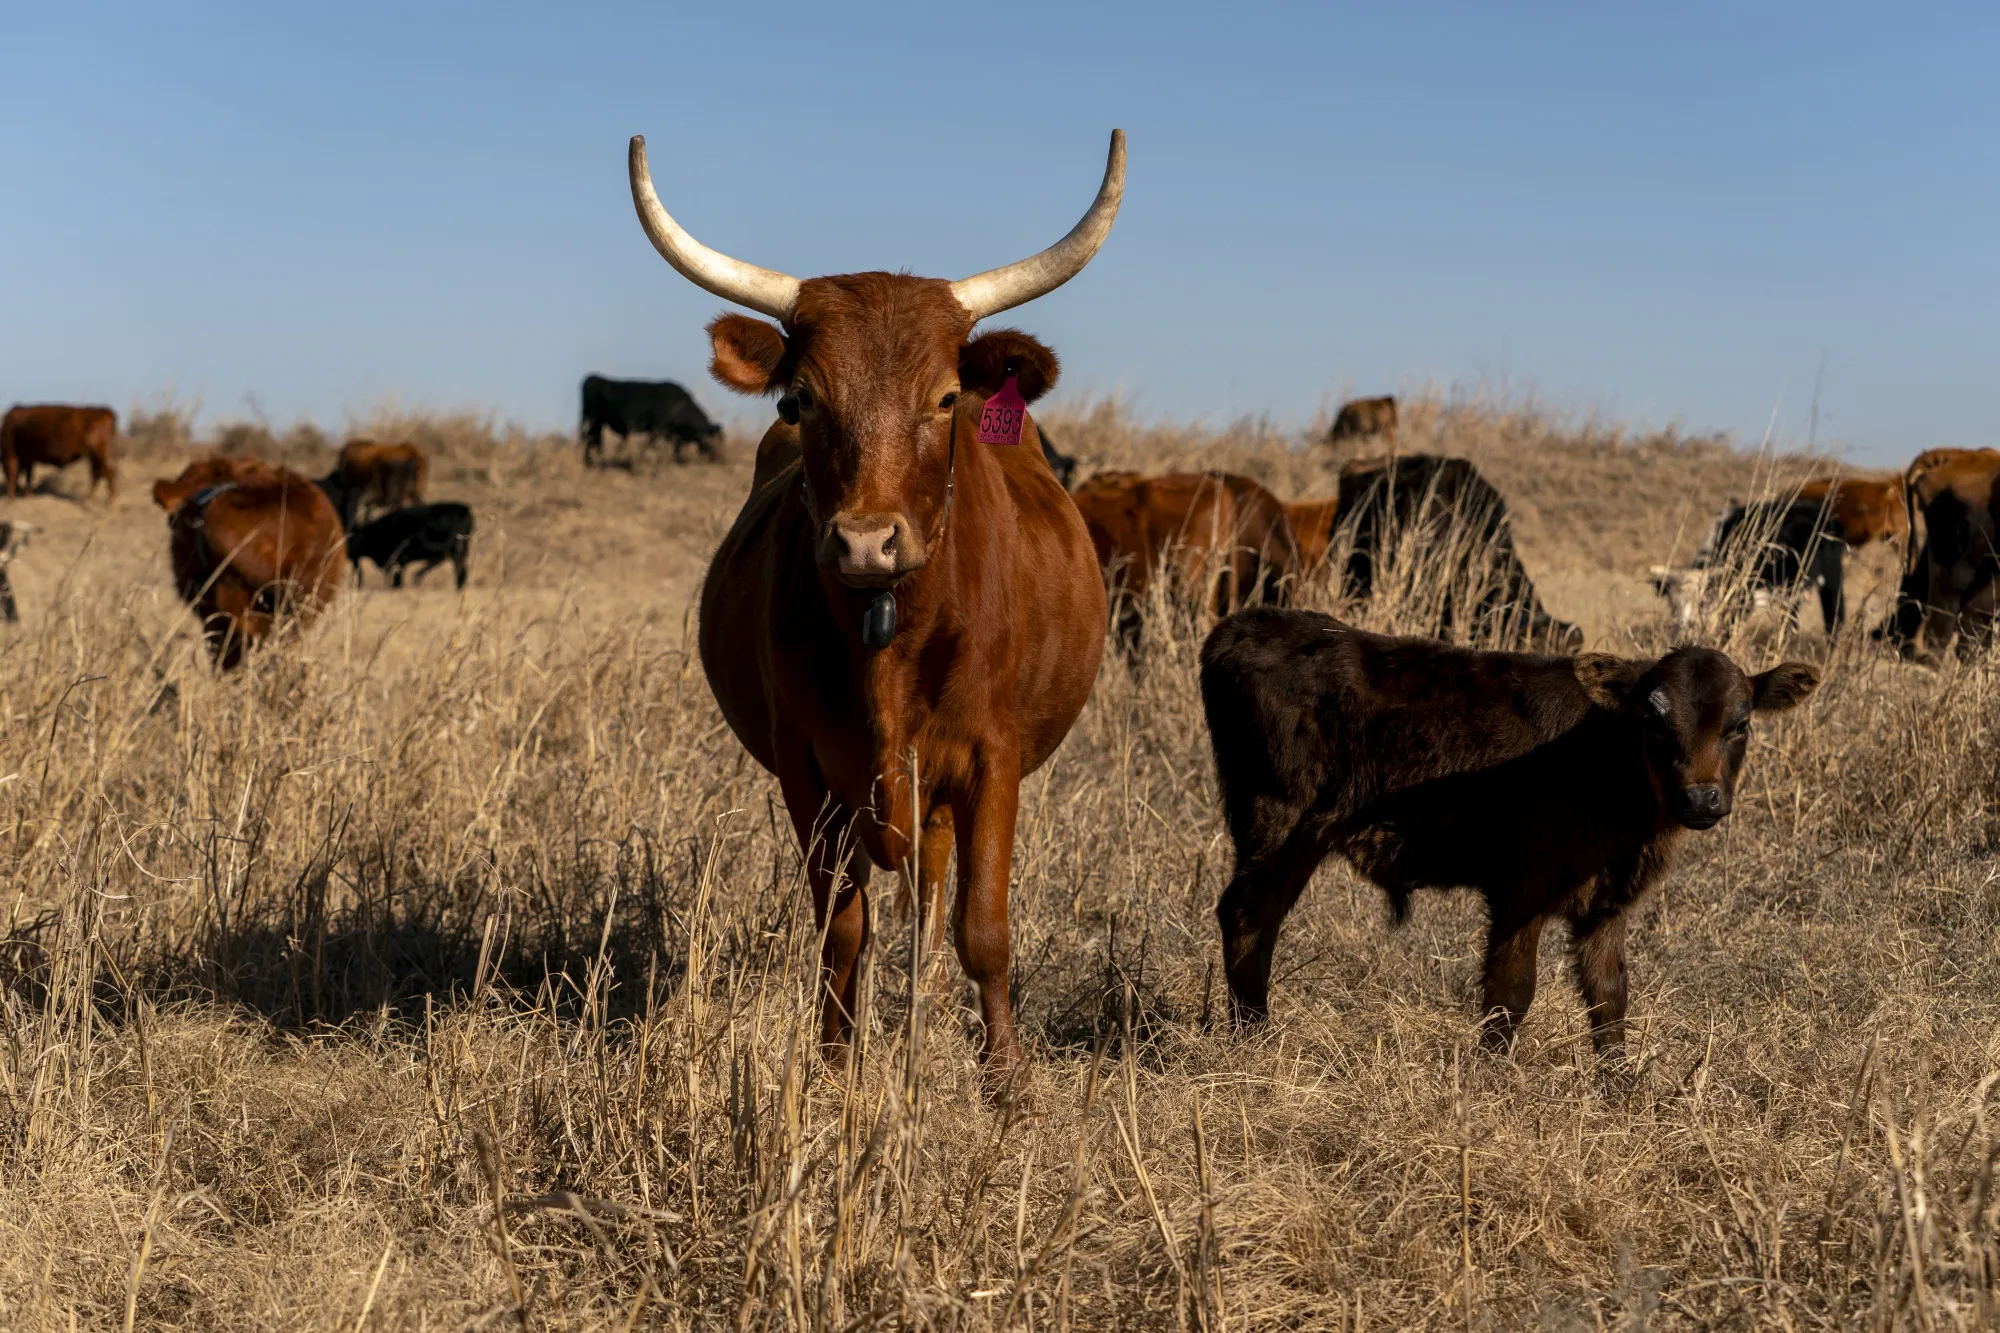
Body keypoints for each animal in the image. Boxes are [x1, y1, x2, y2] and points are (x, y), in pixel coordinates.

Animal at [346, 502, 474, 589]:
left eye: (352, 539)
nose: (347, 554)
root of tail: (464, 509)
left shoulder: (398, 559)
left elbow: (397, 579)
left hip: (451, 548)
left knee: (444, 562)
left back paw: (417, 577)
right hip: (458, 550)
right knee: (459, 568)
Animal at [579, 375, 723, 466]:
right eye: (710, 439)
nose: (718, 458)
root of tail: (593, 378)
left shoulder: (672, 433)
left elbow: (675, 447)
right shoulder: (658, 428)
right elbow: (651, 444)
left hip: (597, 423)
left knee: (593, 441)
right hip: (592, 421)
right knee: (589, 440)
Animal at [631, 129, 1124, 1088]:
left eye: (945, 399)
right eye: (802, 399)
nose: (865, 543)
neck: (889, 640)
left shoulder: (994, 757)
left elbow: (980, 926)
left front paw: (1006, 1080)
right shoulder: (806, 767)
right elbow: (842, 926)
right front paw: (833, 1063)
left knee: (931, 904)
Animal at [1200, 608, 1818, 1053]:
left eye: (1741, 724)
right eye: (1655, 722)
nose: (1701, 798)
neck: (1603, 759)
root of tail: (1244, 625)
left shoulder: (1606, 903)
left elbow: (1609, 998)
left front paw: (1621, 1096)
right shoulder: (1523, 890)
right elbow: (1510, 992)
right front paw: (1488, 1083)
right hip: (1280, 823)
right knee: (1248, 915)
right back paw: (1253, 1041)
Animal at [1650, 500, 1847, 636]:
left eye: (1703, 602)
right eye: (1672, 604)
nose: (1685, 630)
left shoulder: (1742, 601)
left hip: (1832, 580)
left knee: (1834, 621)